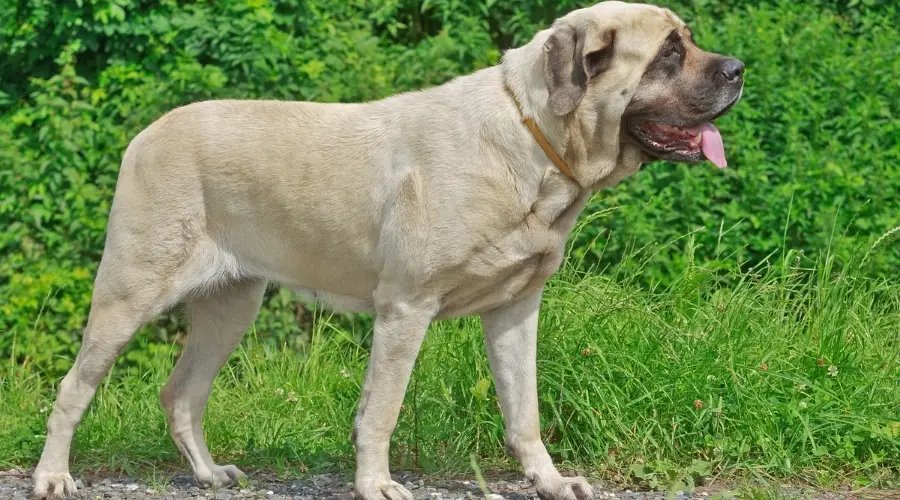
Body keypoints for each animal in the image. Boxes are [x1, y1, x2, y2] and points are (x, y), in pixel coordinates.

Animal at [29, 1, 744, 498]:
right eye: (670, 52)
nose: (738, 70)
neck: (533, 137)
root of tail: (146, 133)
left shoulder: (515, 313)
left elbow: (525, 412)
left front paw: (548, 480)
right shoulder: (406, 307)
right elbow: (382, 407)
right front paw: (376, 482)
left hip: (232, 306)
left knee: (182, 393)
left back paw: (208, 473)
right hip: (130, 291)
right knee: (73, 387)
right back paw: (53, 476)